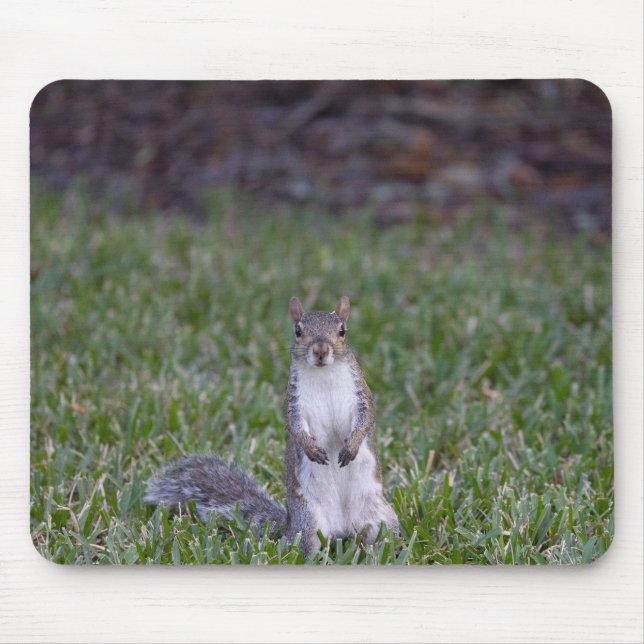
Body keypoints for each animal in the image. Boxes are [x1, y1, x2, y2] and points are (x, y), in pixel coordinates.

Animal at [146, 296, 399, 556]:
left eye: (342, 331)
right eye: (298, 331)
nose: (320, 350)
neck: (324, 375)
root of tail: (343, 530)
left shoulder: (361, 396)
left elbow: (365, 420)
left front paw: (351, 447)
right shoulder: (294, 403)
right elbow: (295, 427)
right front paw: (311, 449)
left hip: (382, 518)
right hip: (310, 525)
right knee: (306, 549)